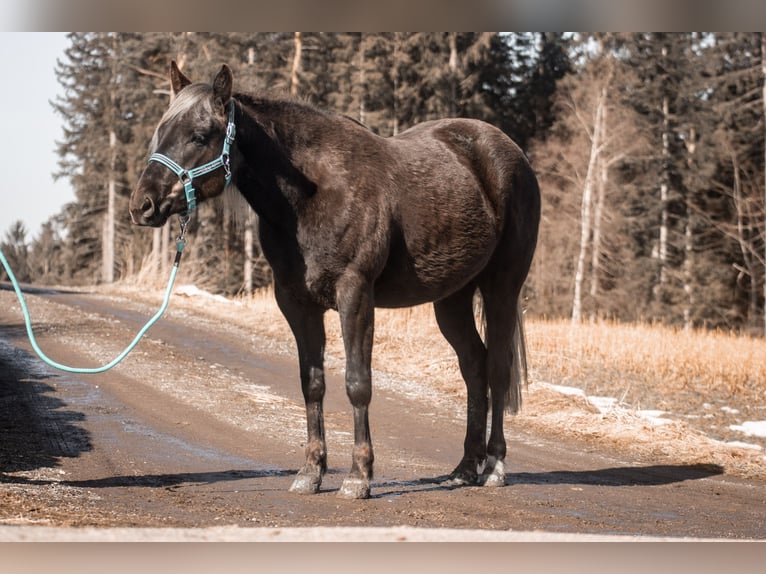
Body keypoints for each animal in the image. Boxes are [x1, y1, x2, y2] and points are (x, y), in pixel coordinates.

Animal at [130, 62, 541, 499]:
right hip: (452, 298)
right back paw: (464, 468)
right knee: (474, 367)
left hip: (501, 287)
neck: (312, 196)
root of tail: (509, 152)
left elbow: (357, 382)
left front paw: (359, 475)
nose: (142, 205)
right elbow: (312, 383)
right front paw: (311, 471)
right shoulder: (296, 303)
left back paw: (494, 466)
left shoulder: (355, 295)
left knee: (497, 368)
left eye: (199, 135)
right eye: (161, 131)